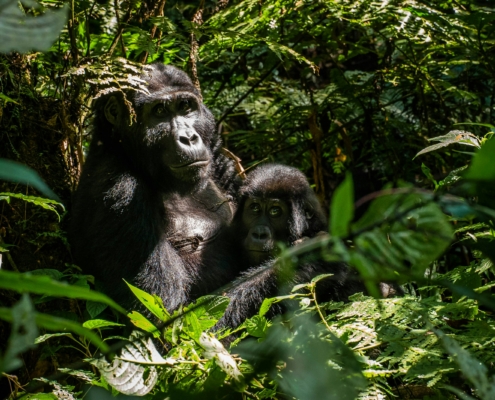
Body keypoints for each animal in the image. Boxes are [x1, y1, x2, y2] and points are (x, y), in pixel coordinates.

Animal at [70, 64, 240, 310]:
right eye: (159, 111)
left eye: (185, 106)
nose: (188, 138)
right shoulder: (122, 194)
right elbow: (164, 311)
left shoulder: (218, 156)